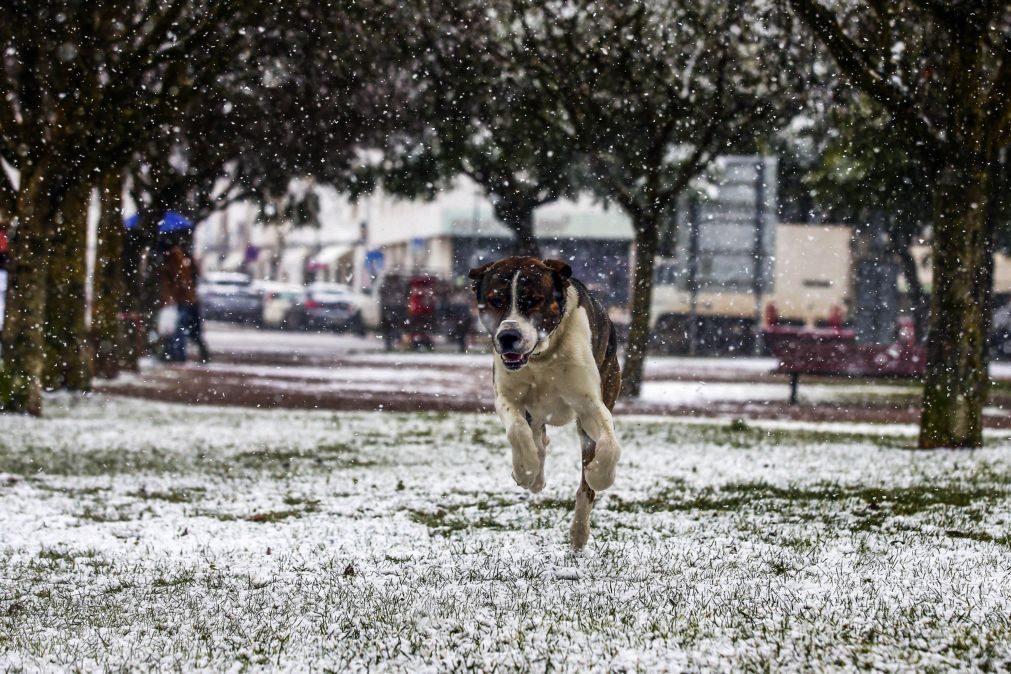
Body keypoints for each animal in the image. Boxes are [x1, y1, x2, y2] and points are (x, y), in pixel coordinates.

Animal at [467, 256, 622, 549]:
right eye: (495, 300)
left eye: (534, 300)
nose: (507, 337)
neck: (542, 355)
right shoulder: (507, 396)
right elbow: (518, 431)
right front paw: (525, 470)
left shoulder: (590, 406)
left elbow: (610, 444)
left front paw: (601, 475)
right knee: (537, 436)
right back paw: (534, 476)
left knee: (585, 481)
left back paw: (579, 531)